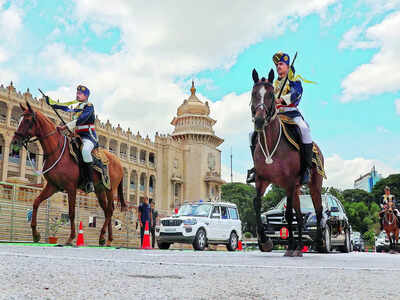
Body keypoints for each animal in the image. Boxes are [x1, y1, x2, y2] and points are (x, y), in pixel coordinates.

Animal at [13, 101, 126, 246]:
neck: (56, 151)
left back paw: (105, 237)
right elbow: (36, 202)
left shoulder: (71, 188)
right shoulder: (53, 186)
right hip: (99, 190)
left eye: (27, 120)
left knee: (110, 210)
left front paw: (71, 238)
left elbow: (71, 212)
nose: (15, 140)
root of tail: (119, 162)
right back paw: (105, 238)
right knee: (107, 211)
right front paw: (35, 234)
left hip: (110, 189)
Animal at [250, 69, 324, 256]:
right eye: (254, 93)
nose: (259, 121)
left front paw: (289, 245)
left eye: (270, 94)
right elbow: (257, 204)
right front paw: (265, 242)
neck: (270, 144)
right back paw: (299, 248)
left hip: (314, 186)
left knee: (319, 211)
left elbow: (289, 214)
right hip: (296, 188)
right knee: (300, 216)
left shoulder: (289, 181)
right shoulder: (262, 180)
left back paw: (318, 243)